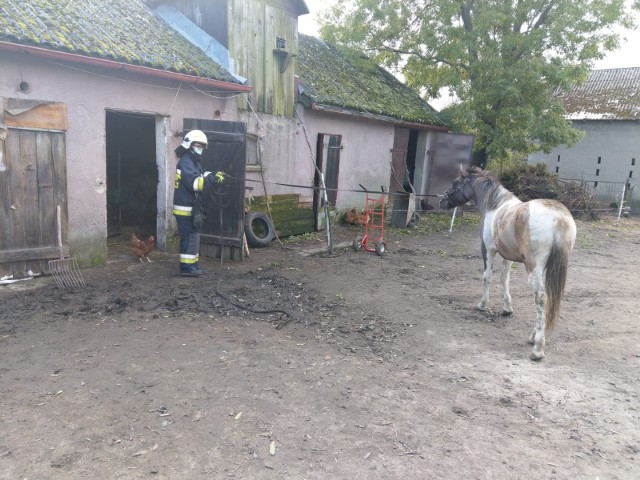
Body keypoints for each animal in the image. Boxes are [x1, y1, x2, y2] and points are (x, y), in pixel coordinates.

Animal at [438, 167, 576, 358]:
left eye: (455, 183)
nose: (442, 202)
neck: (495, 205)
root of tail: (559, 218)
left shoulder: (488, 250)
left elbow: (487, 277)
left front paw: (482, 304)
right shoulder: (508, 256)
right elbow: (504, 278)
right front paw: (507, 308)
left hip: (533, 268)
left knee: (540, 298)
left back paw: (537, 348)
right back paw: (533, 336)